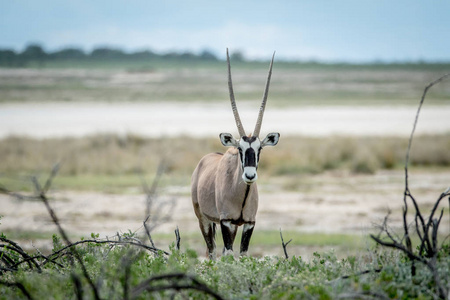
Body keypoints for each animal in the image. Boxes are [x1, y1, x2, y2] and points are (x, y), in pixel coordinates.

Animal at [192, 49, 280, 258]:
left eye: (260, 148)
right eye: (240, 148)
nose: (249, 176)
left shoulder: (248, 223)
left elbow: (243, 255)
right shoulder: (226, 222)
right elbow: (229, 255)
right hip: (204, 220)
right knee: (212, 251)